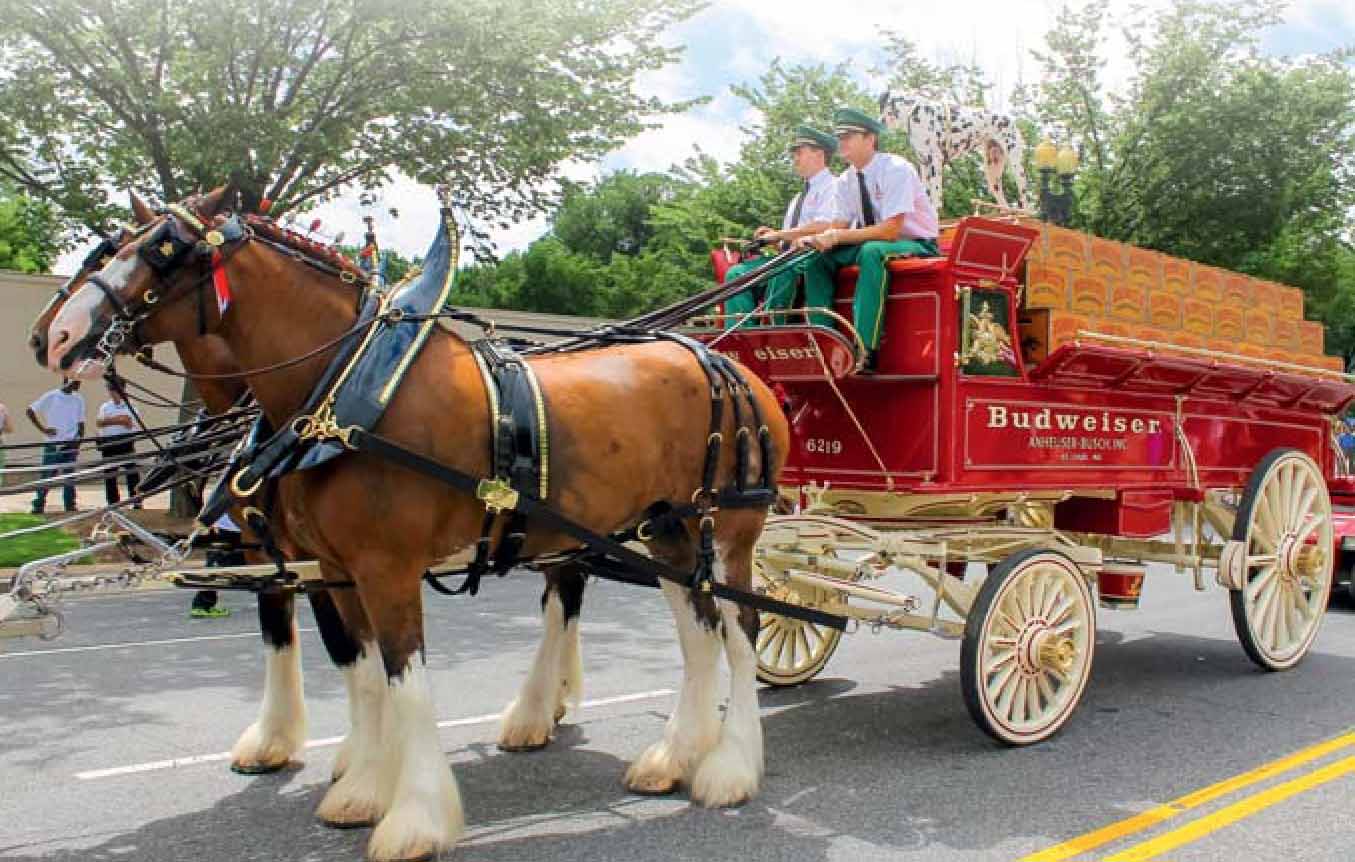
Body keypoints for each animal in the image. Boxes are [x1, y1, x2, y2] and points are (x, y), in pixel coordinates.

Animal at [47, 188, 791, 862]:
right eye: (117, 244)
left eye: (163, 251)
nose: (54, 336)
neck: (347, 395)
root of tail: (729, 366)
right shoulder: (335, 569)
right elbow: (364, 674)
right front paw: (361, 784)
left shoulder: (385, 567)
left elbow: (403, 680)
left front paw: (414, 817)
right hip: (662, 532)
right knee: (697, 633)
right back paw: (671, 755)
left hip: (728, 531)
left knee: (743, 631)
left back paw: (728, 768)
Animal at [878, 90, 1024, 212]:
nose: (878, 122)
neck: (915, 113)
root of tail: (1010, 119)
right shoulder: (924, 165)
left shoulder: (935, 163)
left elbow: (935, 202)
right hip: (993, 176)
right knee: (1005, 206)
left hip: (1017, 170)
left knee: (1025, 203)